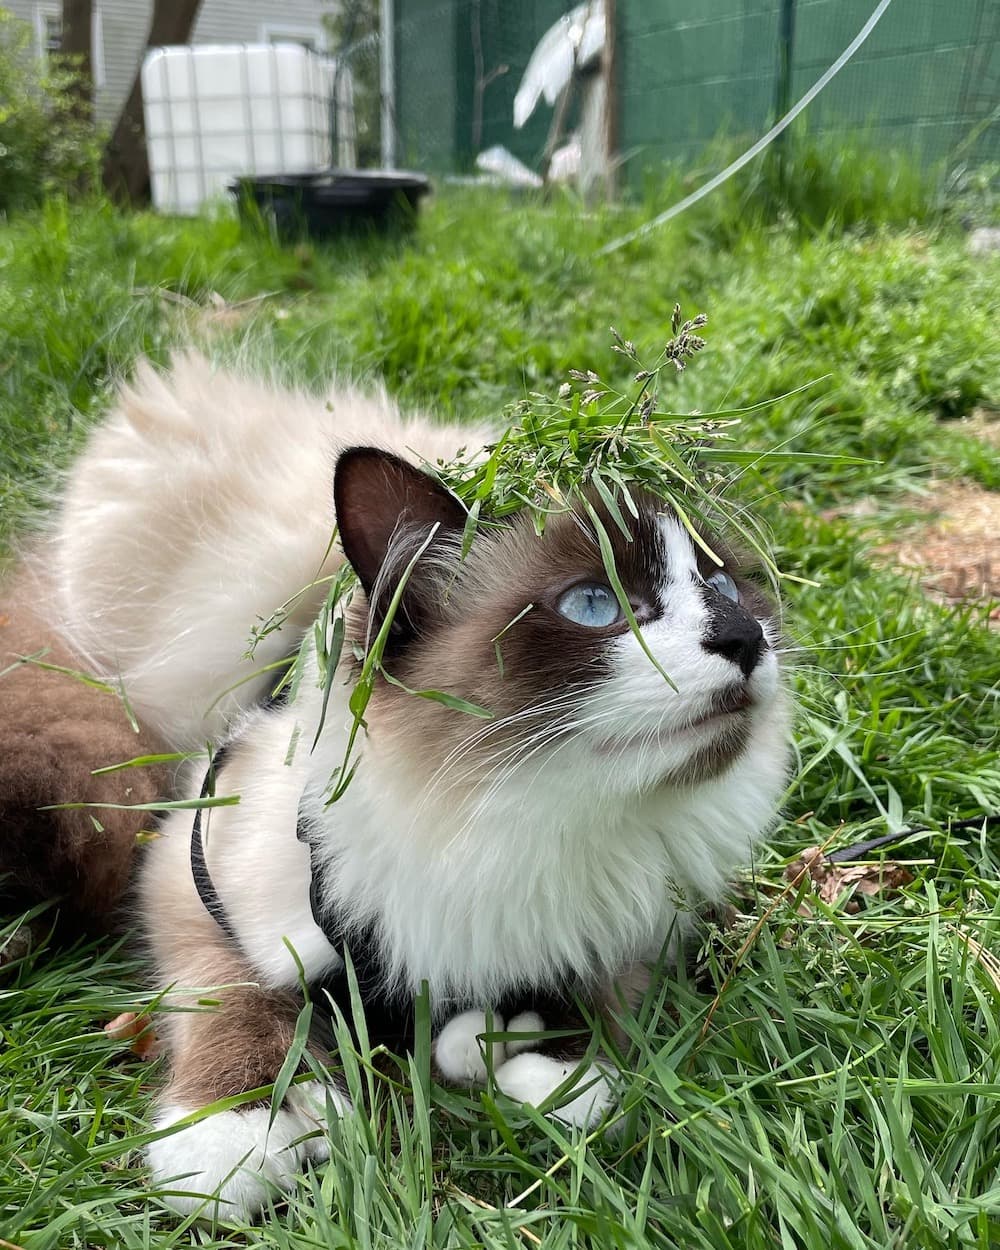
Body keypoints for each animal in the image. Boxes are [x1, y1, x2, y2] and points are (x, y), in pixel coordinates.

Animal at [35, 352, 795, 1220]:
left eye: (724, 589)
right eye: (595, 604)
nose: (745, 638)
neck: (505, 815)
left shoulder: (630, 921)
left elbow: (583, 988)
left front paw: (537, 1064)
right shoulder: (189, 874)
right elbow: (231, 993)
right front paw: (232, 1136)